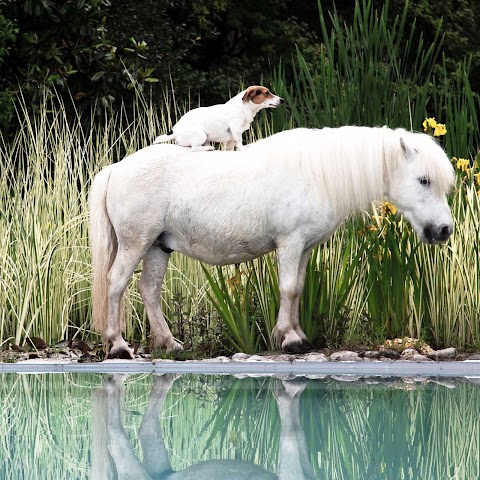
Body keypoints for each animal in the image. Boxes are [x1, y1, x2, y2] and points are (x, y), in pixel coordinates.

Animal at [90, 125, 454, 358]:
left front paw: (297, 335)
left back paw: (170, 345)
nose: (444, 230)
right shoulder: (290, 243)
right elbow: (289, 288)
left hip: (157, 246)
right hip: (135, 243)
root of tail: (116, 169)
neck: (317, 174)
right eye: (424, 180)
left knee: (149, 291)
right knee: (116, 283)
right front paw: (289, 339)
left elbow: (298, 289)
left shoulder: (304, 247)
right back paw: (118, 345)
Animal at [153, 85, 284, 151]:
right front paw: (243, 148)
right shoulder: (236, 129)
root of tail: (175, 130)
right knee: (194, 148)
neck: (245, 107)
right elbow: (240, 142)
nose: (282, 100)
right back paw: (208, 148)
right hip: (201, 135)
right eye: (267, 93)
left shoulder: (231, 139)